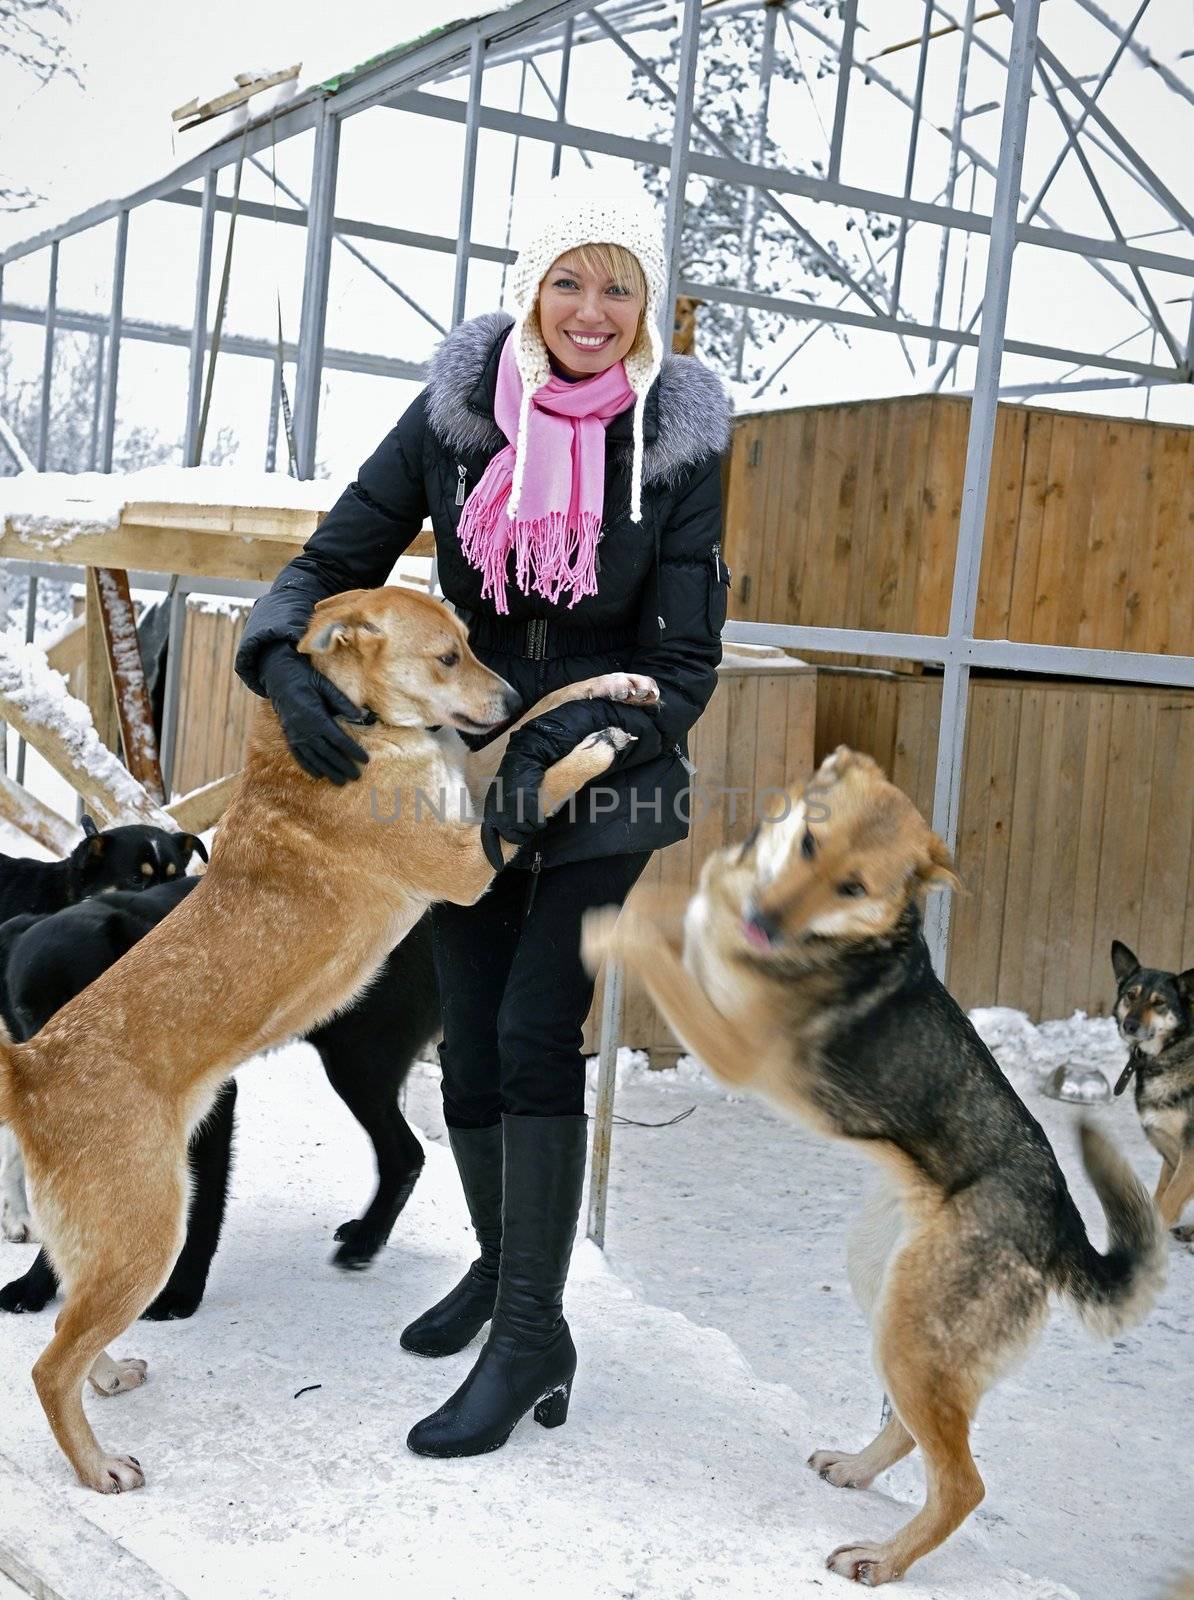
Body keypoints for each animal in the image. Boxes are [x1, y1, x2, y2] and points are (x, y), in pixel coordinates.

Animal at [0, 883, 438, 1318]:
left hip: (357, 1065)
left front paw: (181, 1293)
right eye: (23, 1009)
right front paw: (36, 1284)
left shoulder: (215, 1110)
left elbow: (203, 1210)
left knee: (406, 1153)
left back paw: (365, 1242)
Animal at [585, 748, 1165, 1587]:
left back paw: (883, 1560)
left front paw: (602, 931)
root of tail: (1063, 1229)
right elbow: (672, 910)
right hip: (886, 1291)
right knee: (923, 1434)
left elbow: (643, 938)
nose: (765, 926)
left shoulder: (728, 1046)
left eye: (853, 887)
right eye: (807, 847)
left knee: (963, 1482)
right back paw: (858, 1470)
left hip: (909, 1331)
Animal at [1107, 940, 1190, 1241]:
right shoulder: (1172, 1155)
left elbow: (1167, 1205)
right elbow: (1160, 1199)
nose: (1129, 1025)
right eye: (1130, 996)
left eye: (1159, 1003)